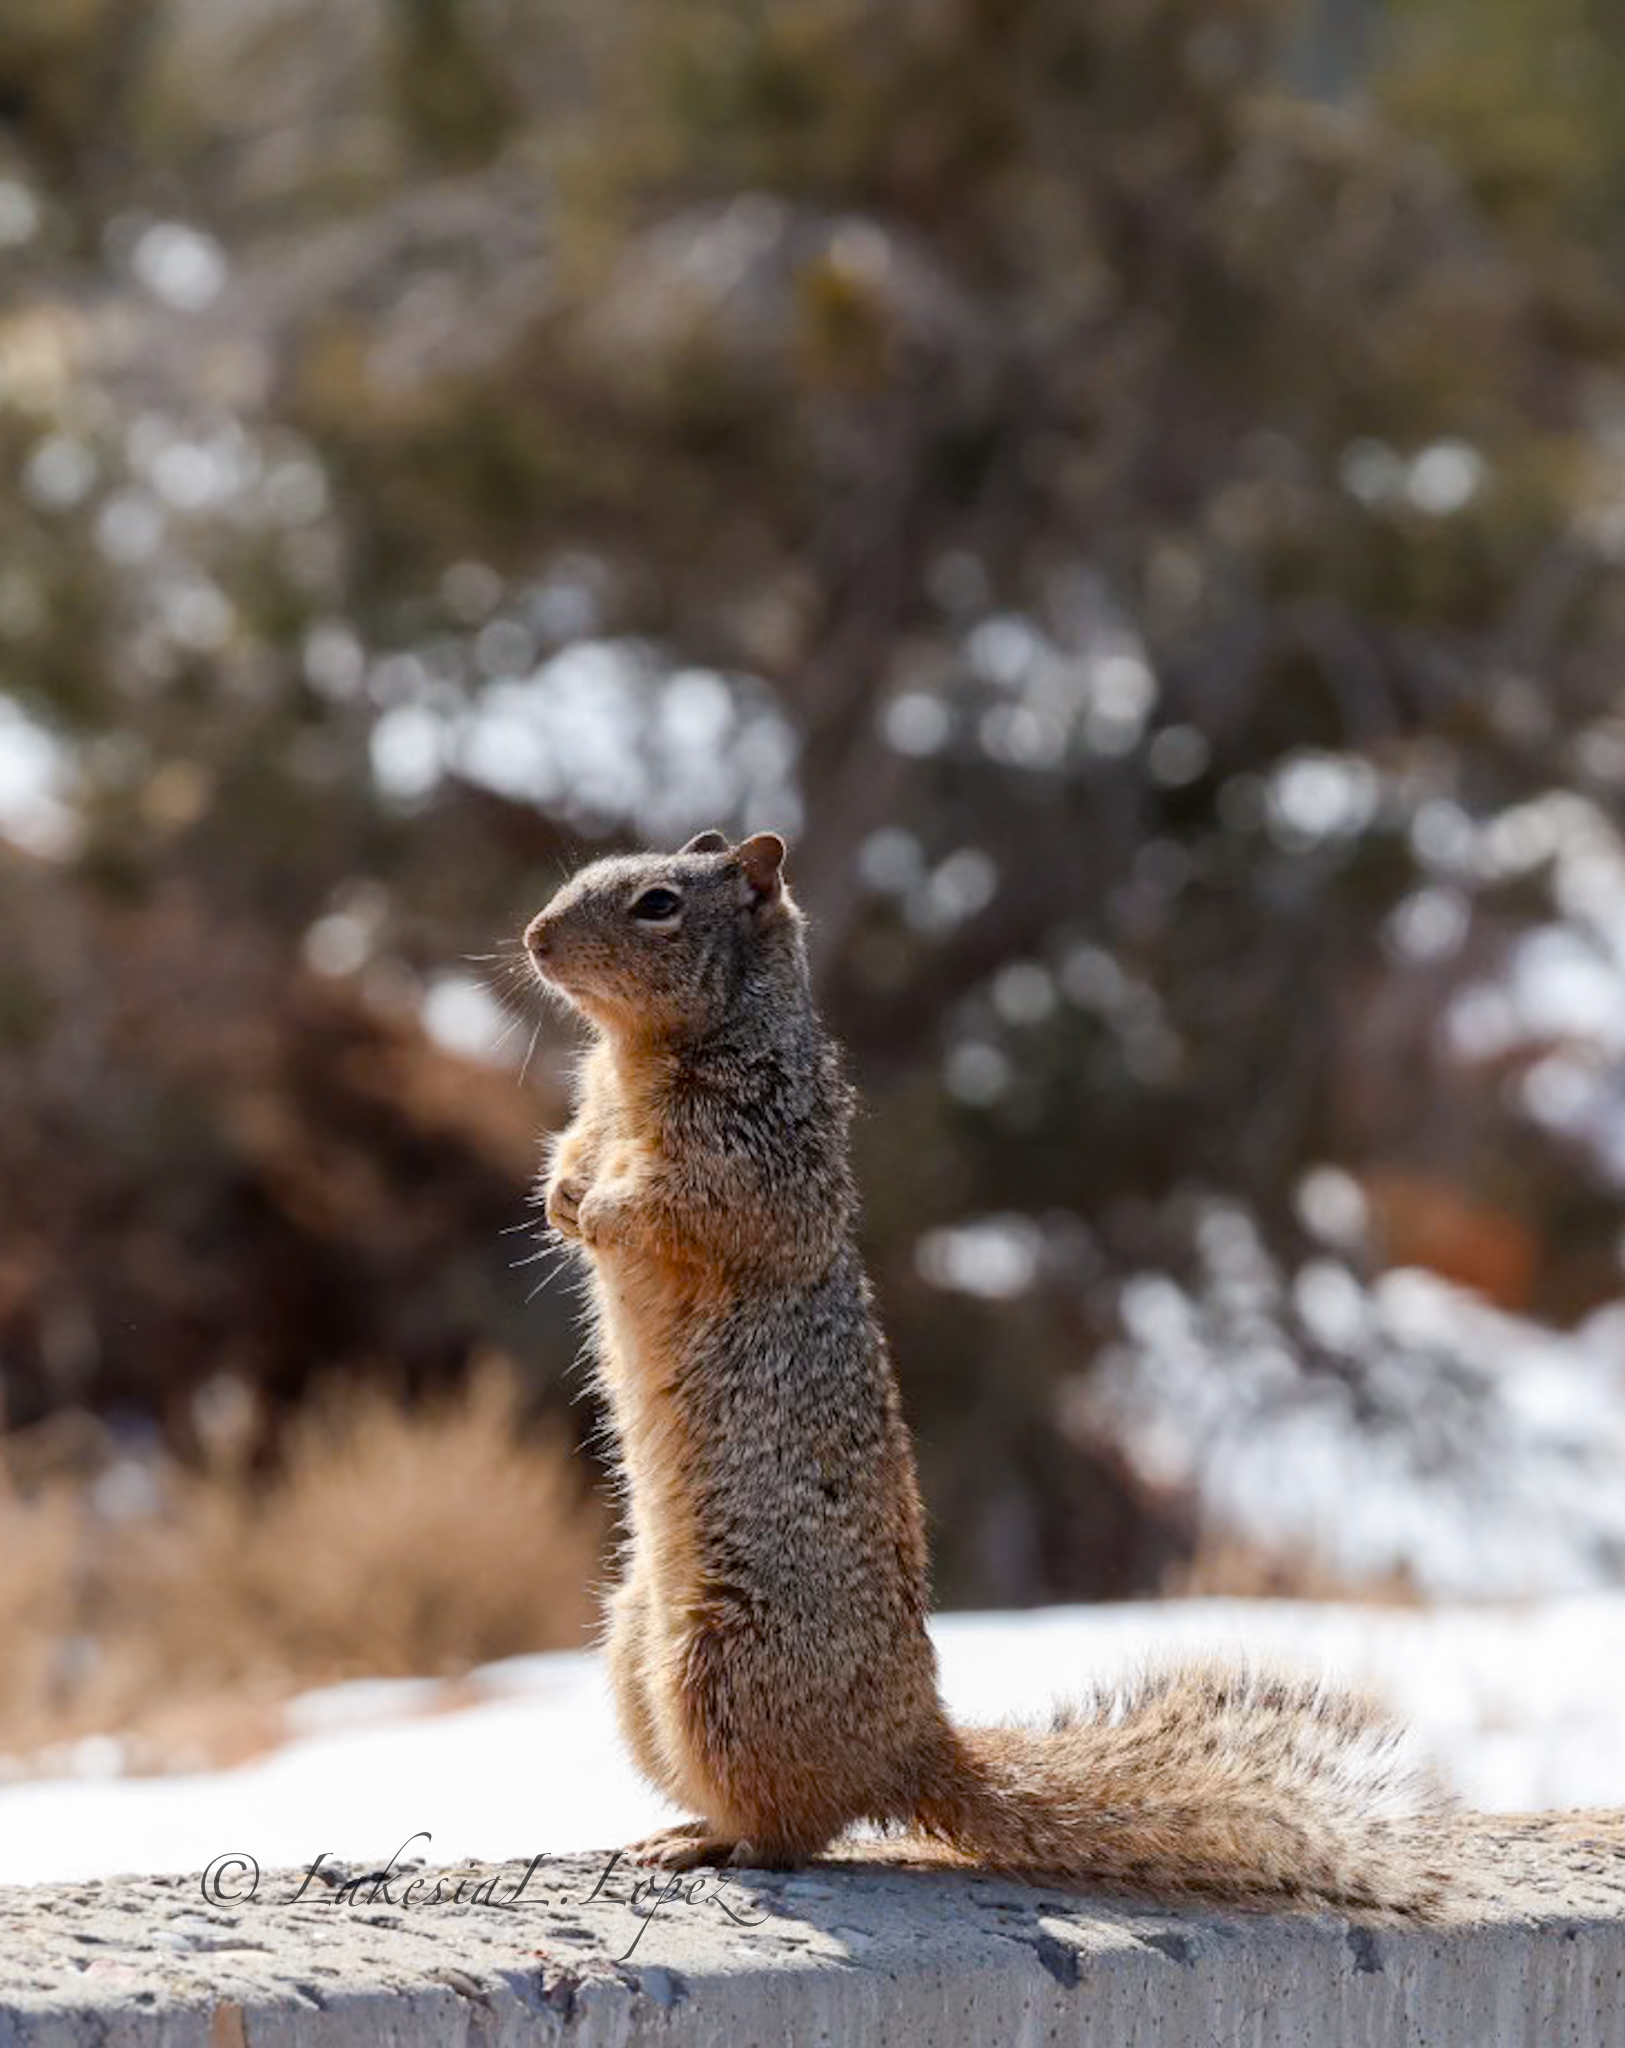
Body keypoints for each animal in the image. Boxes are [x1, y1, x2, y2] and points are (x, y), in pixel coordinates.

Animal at [523, 830, 1450, 1915]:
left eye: (658, 903)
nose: (535, 938)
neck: (637, 1055)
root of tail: (909, 1748)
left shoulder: (753, 1161)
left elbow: (682, 1208)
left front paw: (602, 1211)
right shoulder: (600, 1108)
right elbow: (581, 1146)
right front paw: (565, 1195)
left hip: (724, 1669)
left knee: (798, 1830)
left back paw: (716, 1846)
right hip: (635, 1646)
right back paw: (685, 1829)